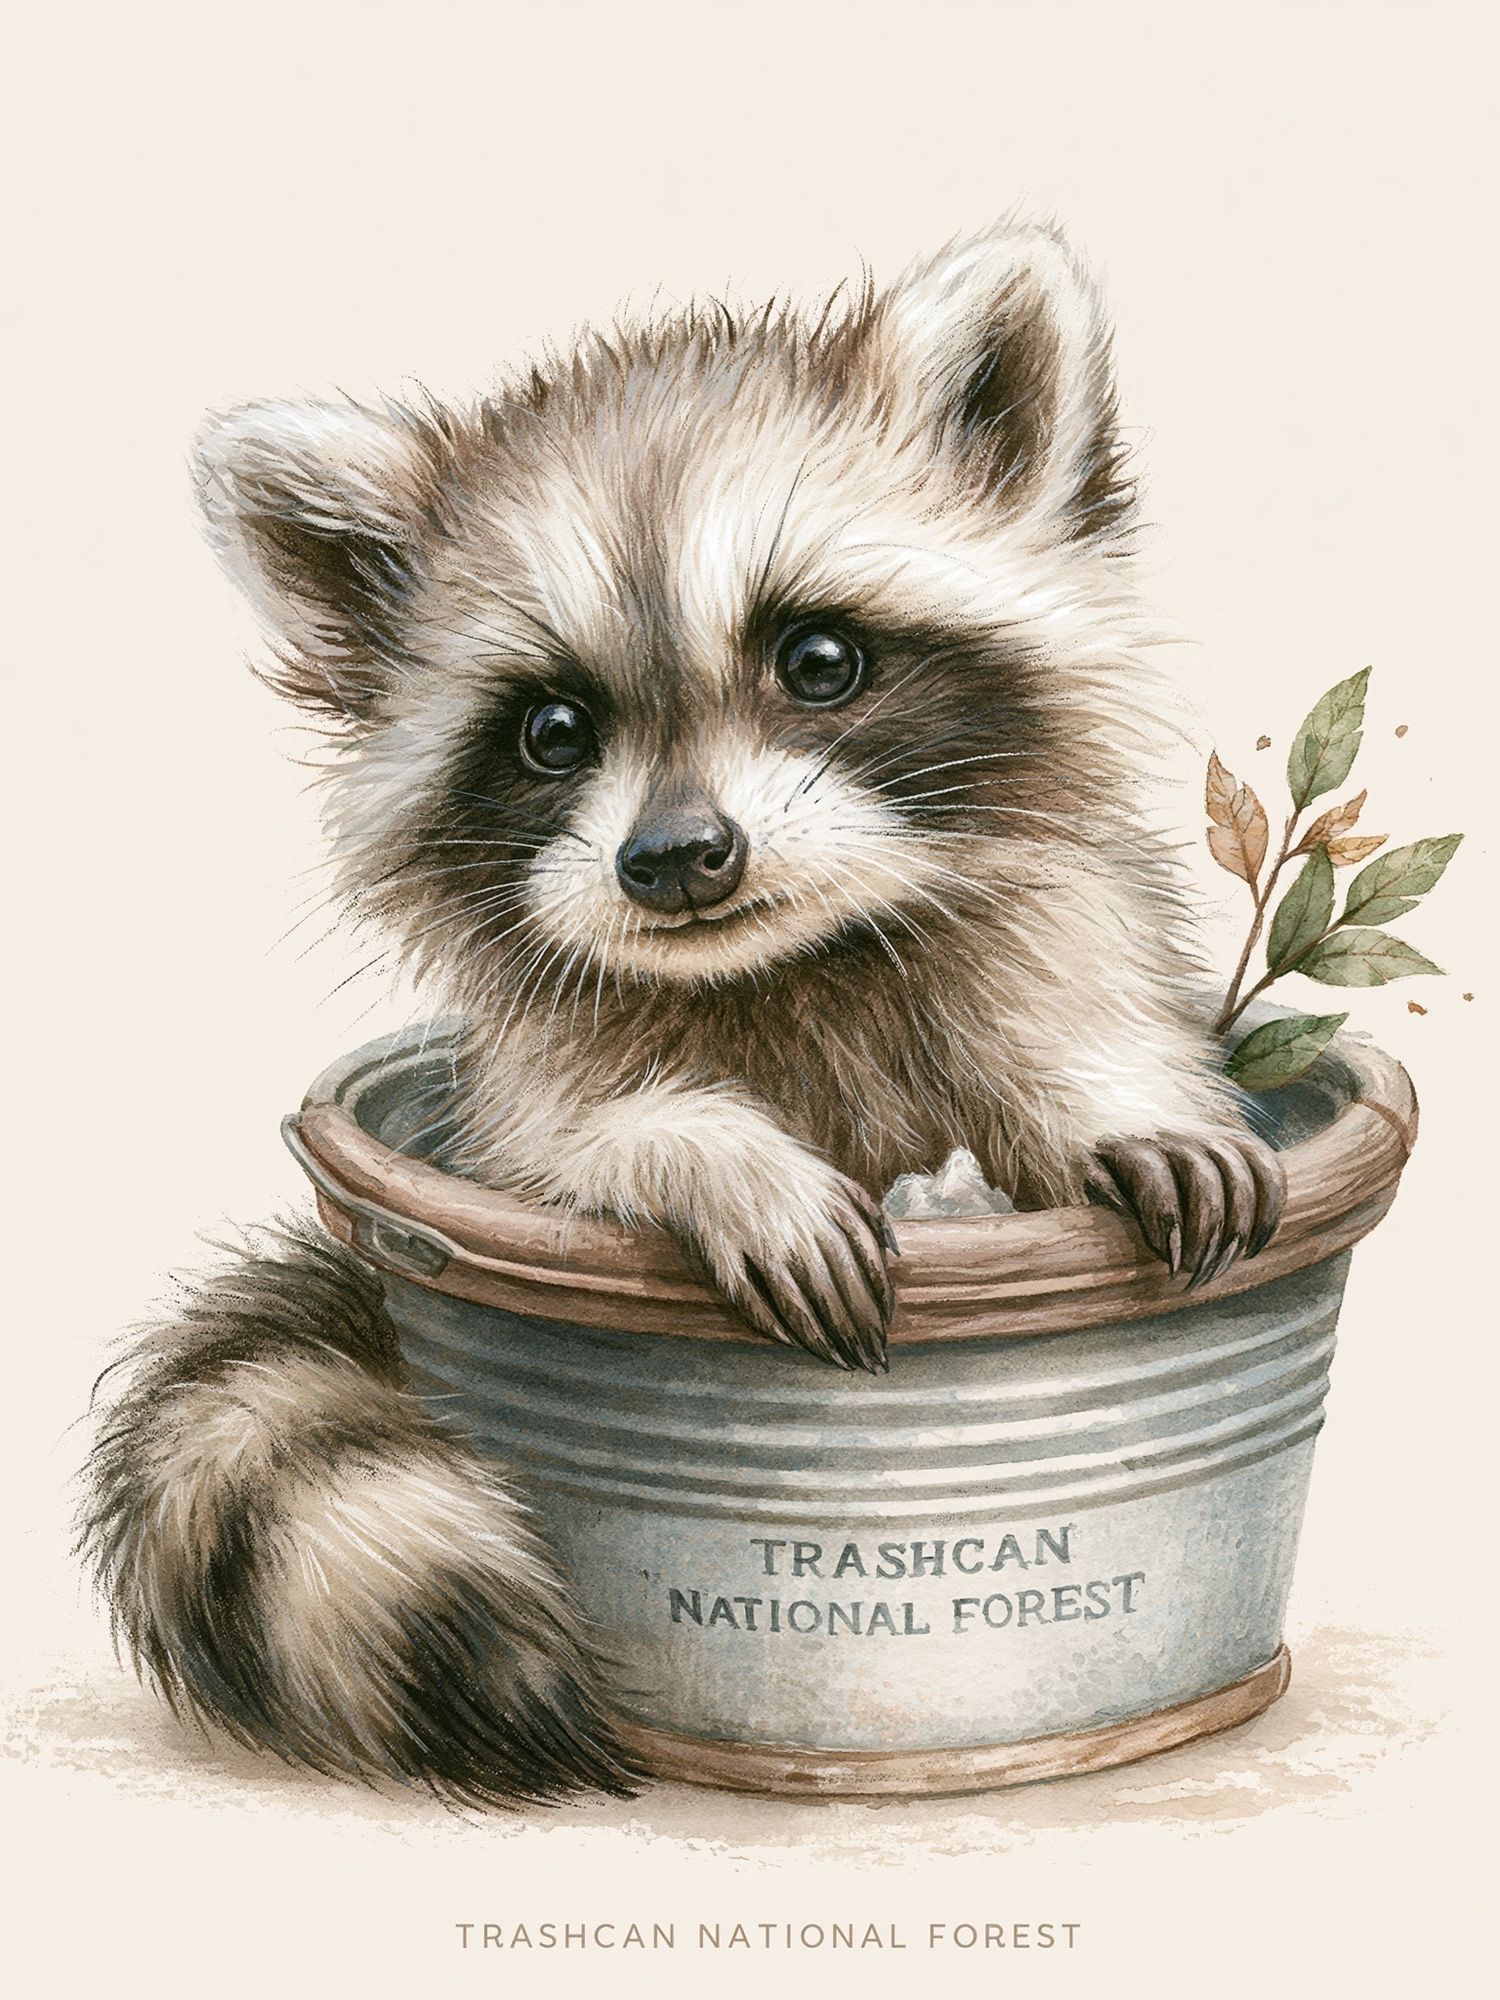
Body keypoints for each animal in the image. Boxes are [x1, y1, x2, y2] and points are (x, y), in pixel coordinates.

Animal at [83, 224, 1283, 1807]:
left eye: (820, 660)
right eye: (551, 729)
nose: (675, 858)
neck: (787, 963)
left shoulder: (1037, 935)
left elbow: (1075, 1022)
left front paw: (1118, 1101)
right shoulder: (519, 1083)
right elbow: (568, 1144)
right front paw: (718, 1156)